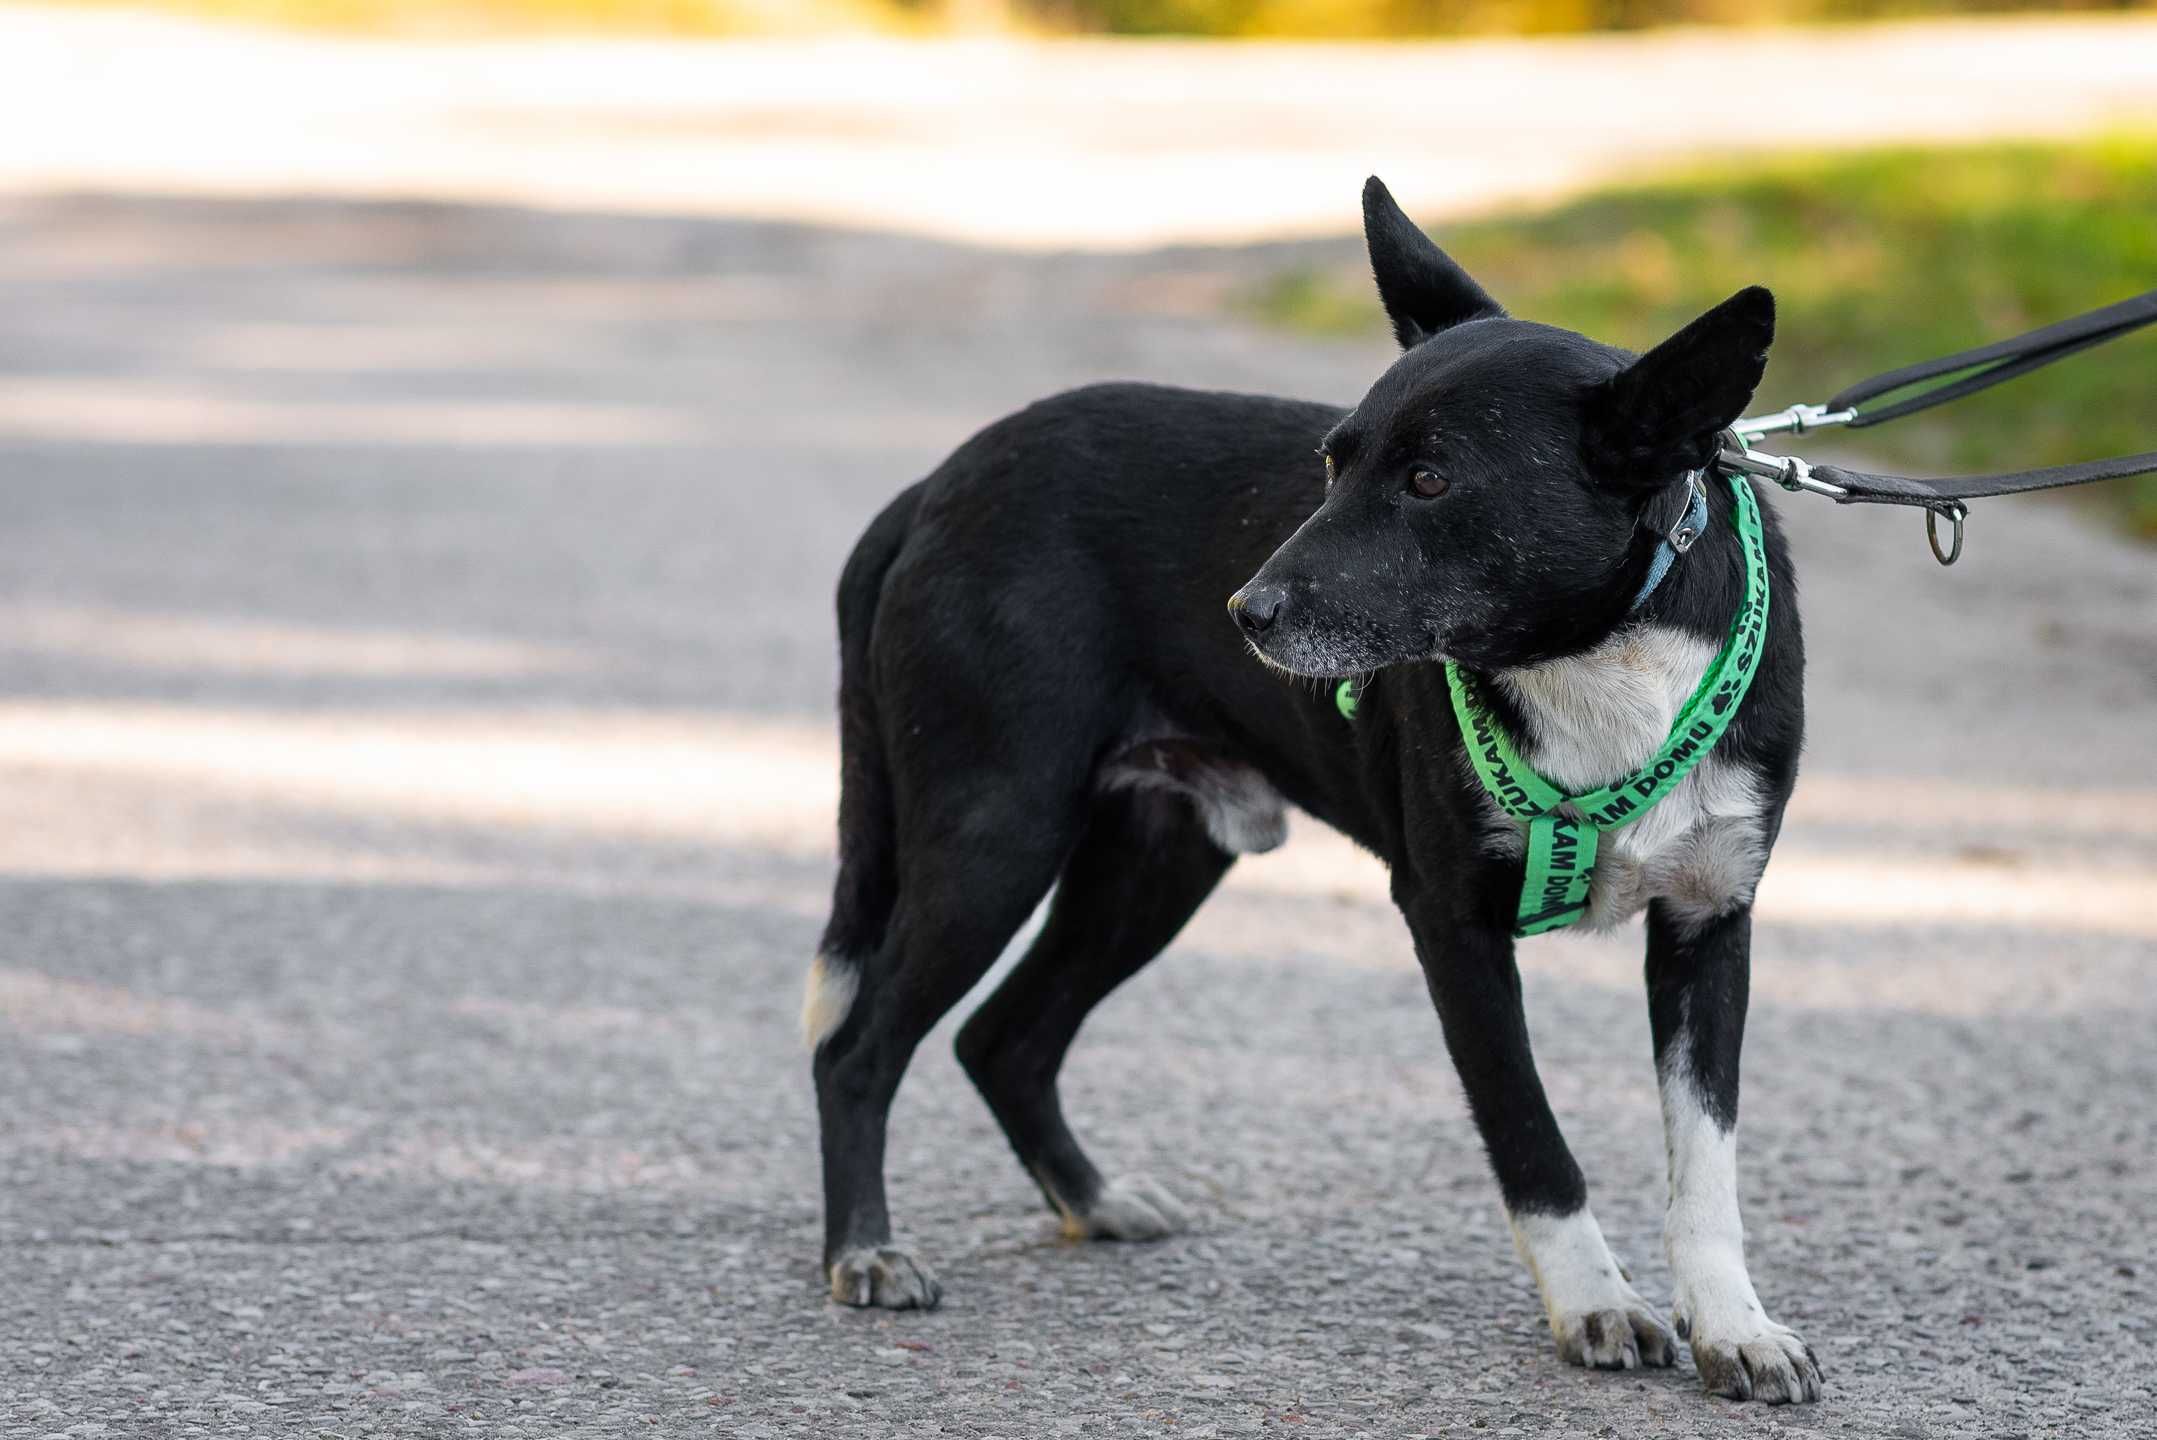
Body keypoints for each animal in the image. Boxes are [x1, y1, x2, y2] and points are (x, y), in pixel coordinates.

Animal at [811, 179, 1820, 1405]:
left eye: (1431, 480)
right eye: (1333, 463)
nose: (1244, 613)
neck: (1596, 663)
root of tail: (932, 487)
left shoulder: (1709, 923)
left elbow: (1704, 1164)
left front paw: (1733, 1324)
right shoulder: (1451, 925)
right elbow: (1532, 1140)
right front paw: (1595, 1303)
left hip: (1155, 860)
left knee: (1003, 1039)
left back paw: (1090, 1201)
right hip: (995, 834)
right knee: (857, 1048)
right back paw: (865, 1251)